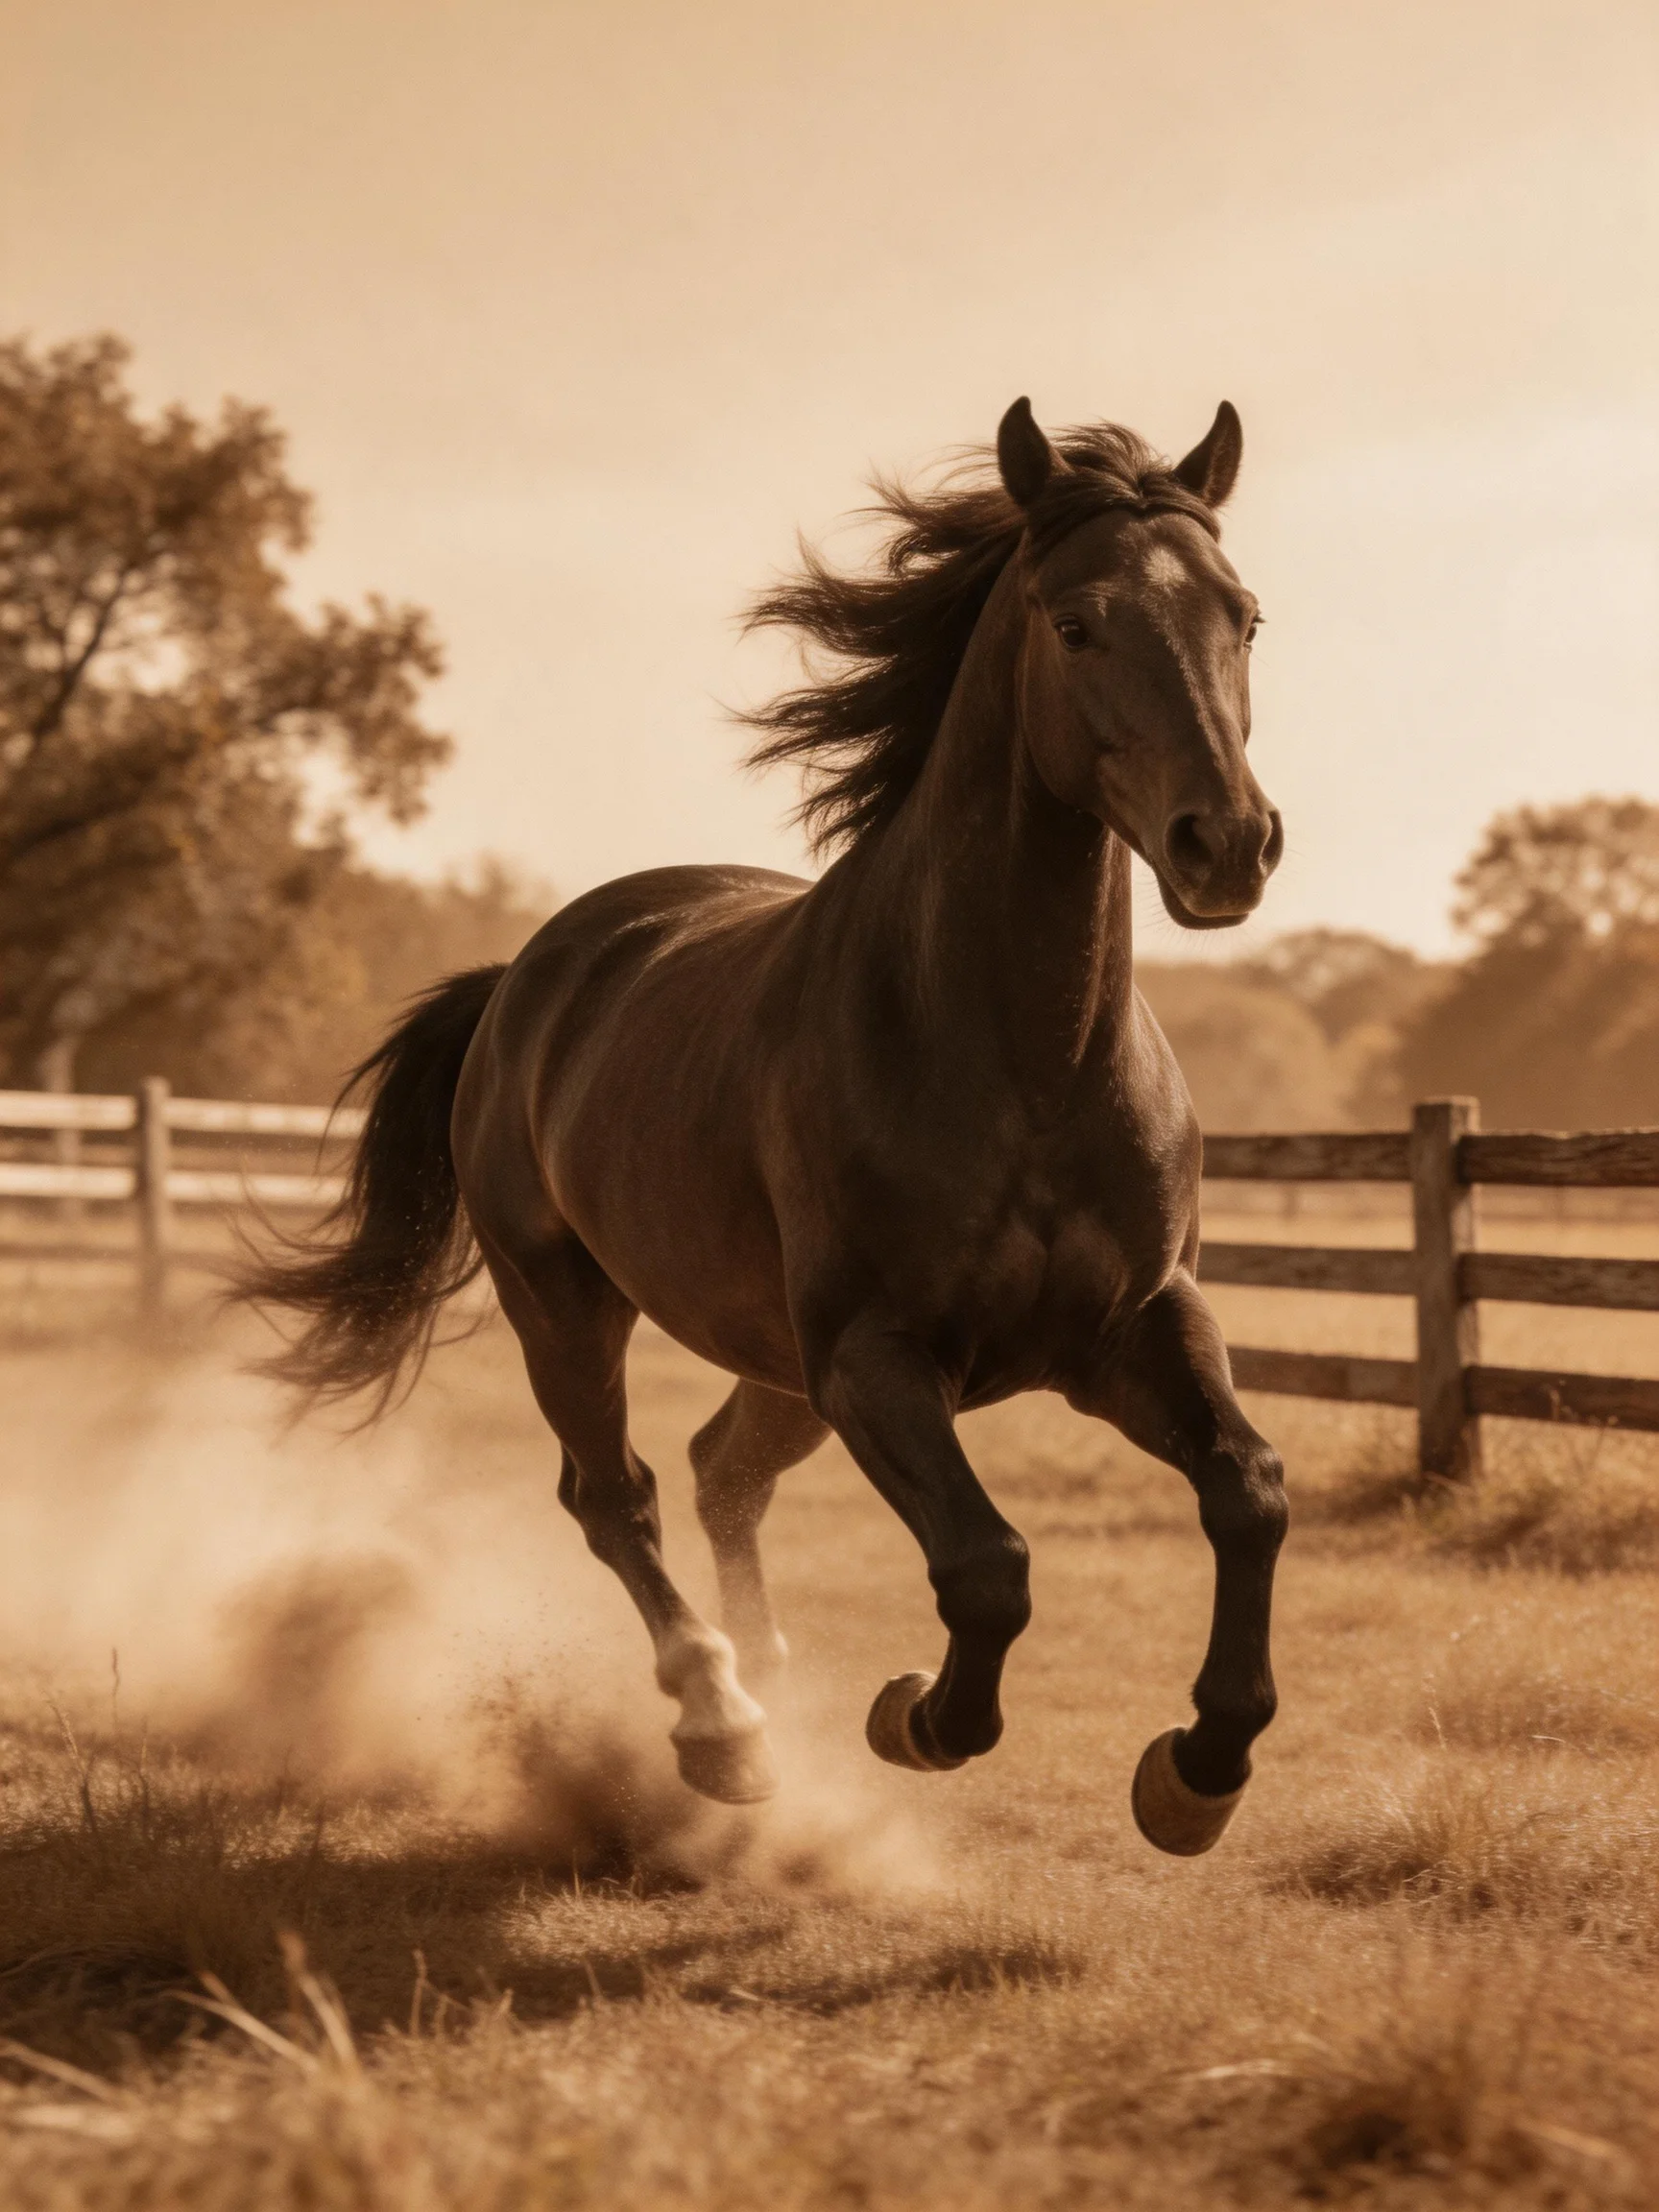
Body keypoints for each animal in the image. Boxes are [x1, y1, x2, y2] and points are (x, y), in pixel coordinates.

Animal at [244, 396, 1288, 1858]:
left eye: (1244, 616)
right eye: (1077, 622)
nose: (1227, 846)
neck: (1020, 1064)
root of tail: (524, 978)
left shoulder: (1134, 1328)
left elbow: (1249, 1492)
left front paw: (1197, 1773)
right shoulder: (874, 1358)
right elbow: (988, 1566)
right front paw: (916, 1716)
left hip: (772, 1366)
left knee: (718, 1471)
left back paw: (767, 1681)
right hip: (567, 1307)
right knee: (616, 1495)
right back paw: (725, 1727)